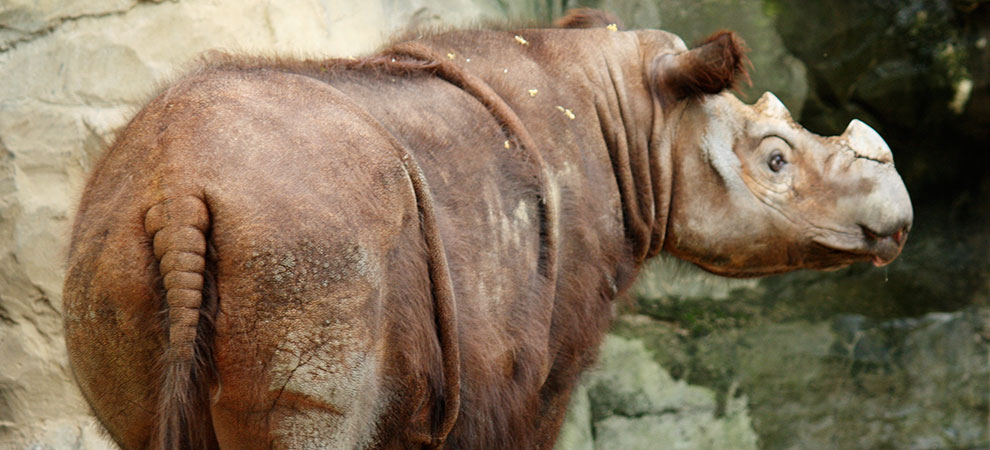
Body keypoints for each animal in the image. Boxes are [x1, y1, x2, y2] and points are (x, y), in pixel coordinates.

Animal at [62, 9, 916, 450]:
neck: (640, 118)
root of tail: (177, 186)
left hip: (114, 243)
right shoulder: (537, 360)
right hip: (305, 238)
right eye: (775, 160)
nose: (899, 221)